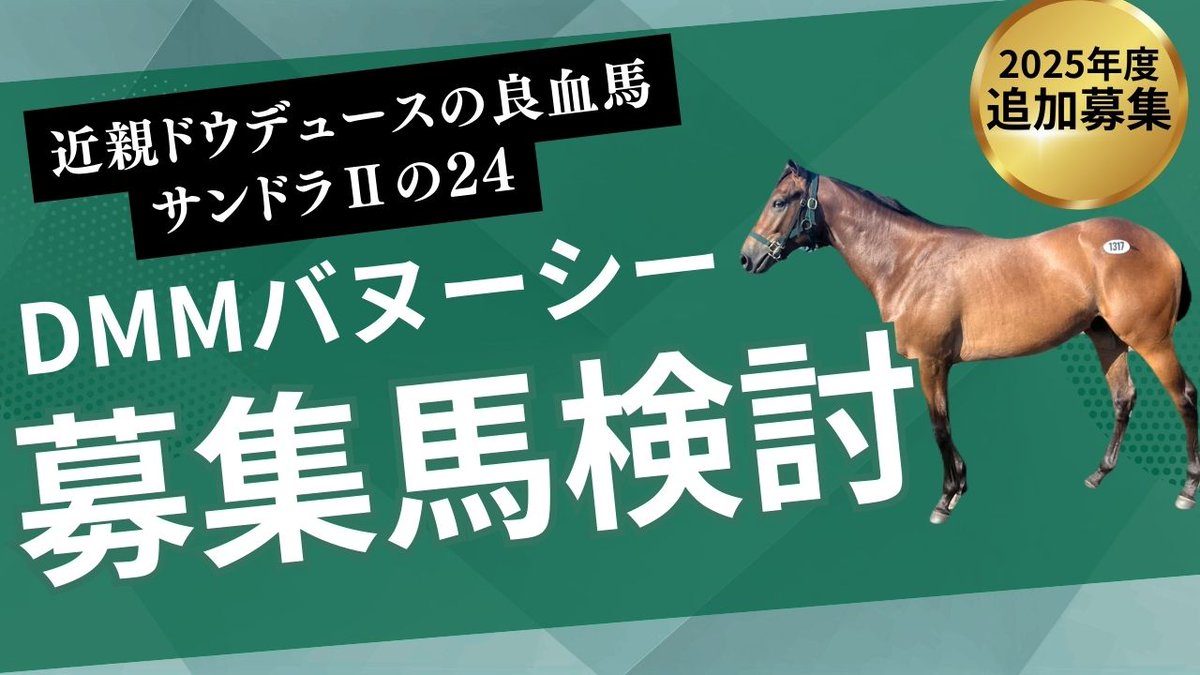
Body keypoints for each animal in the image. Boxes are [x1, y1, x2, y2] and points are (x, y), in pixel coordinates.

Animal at [740, 160, 1196, 524]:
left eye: (780, 202)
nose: (746, 257)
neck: (910, 262)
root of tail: (1162, 246)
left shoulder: (931, 361)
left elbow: (939, 426)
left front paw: (946, 499)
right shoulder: (937, 363)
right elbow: (945, 424)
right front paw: (959, 485)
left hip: (1152, 341)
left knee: (1184, 397)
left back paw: (1188, 490)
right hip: (1108, 338)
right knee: (1124, 399)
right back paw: (1099, 474)